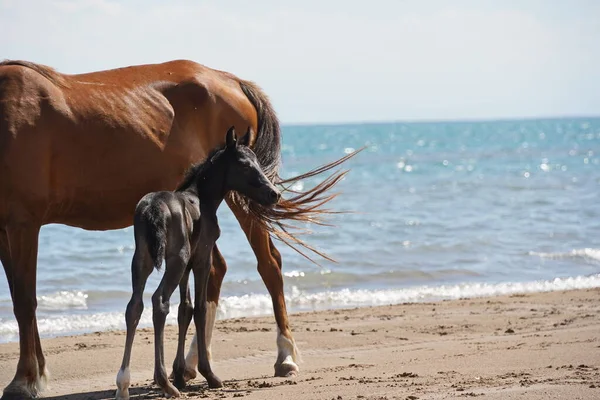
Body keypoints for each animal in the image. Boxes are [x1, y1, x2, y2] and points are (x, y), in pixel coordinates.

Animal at [116, 126, 280, 398]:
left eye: (257, 161)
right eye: (245, 165)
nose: (274, 194)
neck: (201, 198)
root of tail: (152, 210)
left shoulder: (188, 266)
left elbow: (185, 309)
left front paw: (181, 373)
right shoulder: (202, 258)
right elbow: (201, 308)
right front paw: (208, 374)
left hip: (142, 260)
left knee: (134, 306)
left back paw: (123, 384)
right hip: (176, 260)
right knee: (159, 301)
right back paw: (164, 382)